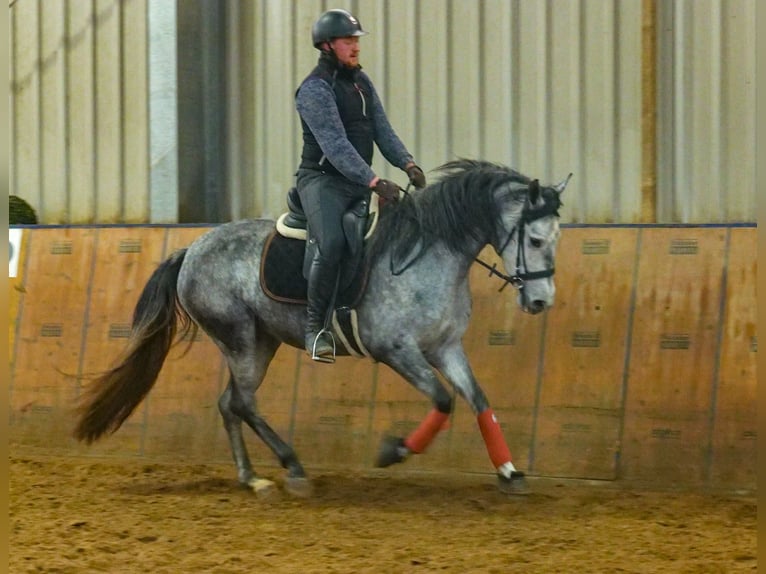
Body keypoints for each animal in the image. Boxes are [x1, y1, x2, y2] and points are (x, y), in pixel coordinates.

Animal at [76, 160, 568, 498]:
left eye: (555, 239)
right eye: (535, 239)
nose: (541, 302)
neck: (430, 253)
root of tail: (191, 250)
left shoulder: (446, 347)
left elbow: (479, 401)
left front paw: (510, 472)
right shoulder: (397, 350)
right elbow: (444, 401)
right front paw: (393, 451)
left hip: (261, 341)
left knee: (230, 404)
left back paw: (253, 479)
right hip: (238, 337)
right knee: (244, 402)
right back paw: (292, 468)